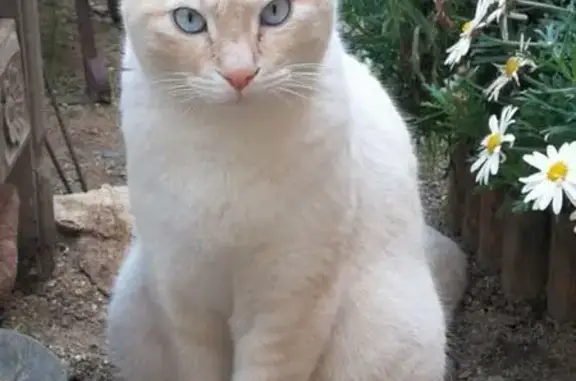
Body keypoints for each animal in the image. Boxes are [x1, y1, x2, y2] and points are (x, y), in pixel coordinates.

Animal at [108, 0, 466, 380]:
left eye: (276, 12)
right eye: (189, 21)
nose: (239, 75)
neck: (228, 147)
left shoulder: (289, 303)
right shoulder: (182, 295)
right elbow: (198, 368)